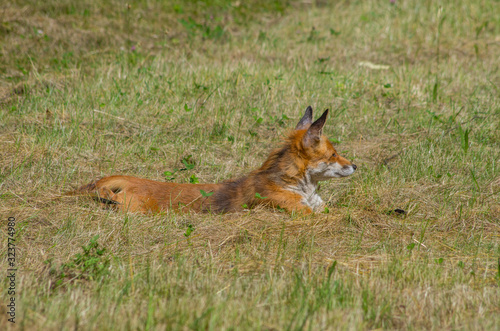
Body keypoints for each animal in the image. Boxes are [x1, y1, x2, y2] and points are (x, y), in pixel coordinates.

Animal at [73, 107, 356, 215]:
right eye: (333, 154)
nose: (356, 165)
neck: (300, 187)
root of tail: (130, 179)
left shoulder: (320, 208)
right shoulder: (301, 212)